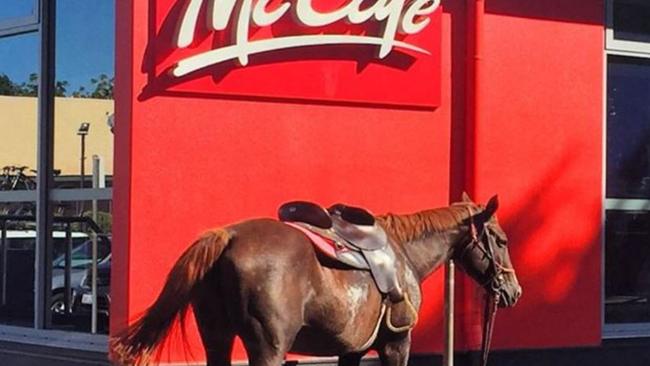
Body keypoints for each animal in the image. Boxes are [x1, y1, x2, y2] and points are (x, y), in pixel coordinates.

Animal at [109, 193, 520, 364]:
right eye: (501, 240)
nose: (513, 291)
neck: (404, 253)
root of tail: (229, 235)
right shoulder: (396, 343)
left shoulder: (352, 350)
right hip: (268, 347)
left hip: (217, 338)